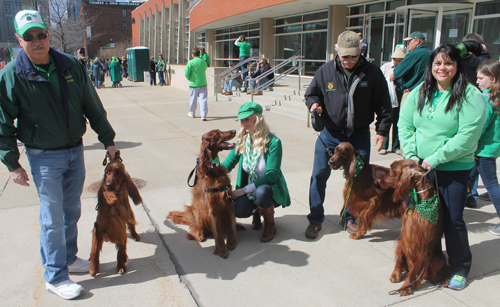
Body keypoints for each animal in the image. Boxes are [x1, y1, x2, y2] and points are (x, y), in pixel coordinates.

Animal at [167, 130, 237, 260]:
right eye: (217, 134)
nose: (234, 131)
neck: (214, 172)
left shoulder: (228, 203)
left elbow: (231, 226)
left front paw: (231, 243)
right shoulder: (213, 209)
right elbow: (218, 234)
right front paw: (222, 251)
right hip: (195, 211)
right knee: (196, 229)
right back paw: (200, 235)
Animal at [386, 159, 450, 296]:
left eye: (393, 170)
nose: (378, 179)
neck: (422, 200)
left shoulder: (420, 243)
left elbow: (414, 270)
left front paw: (406, 286)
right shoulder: (406, 234)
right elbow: (401, 256)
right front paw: (396, 274)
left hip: (437, 258)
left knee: (443, 269)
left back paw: (446, 279)